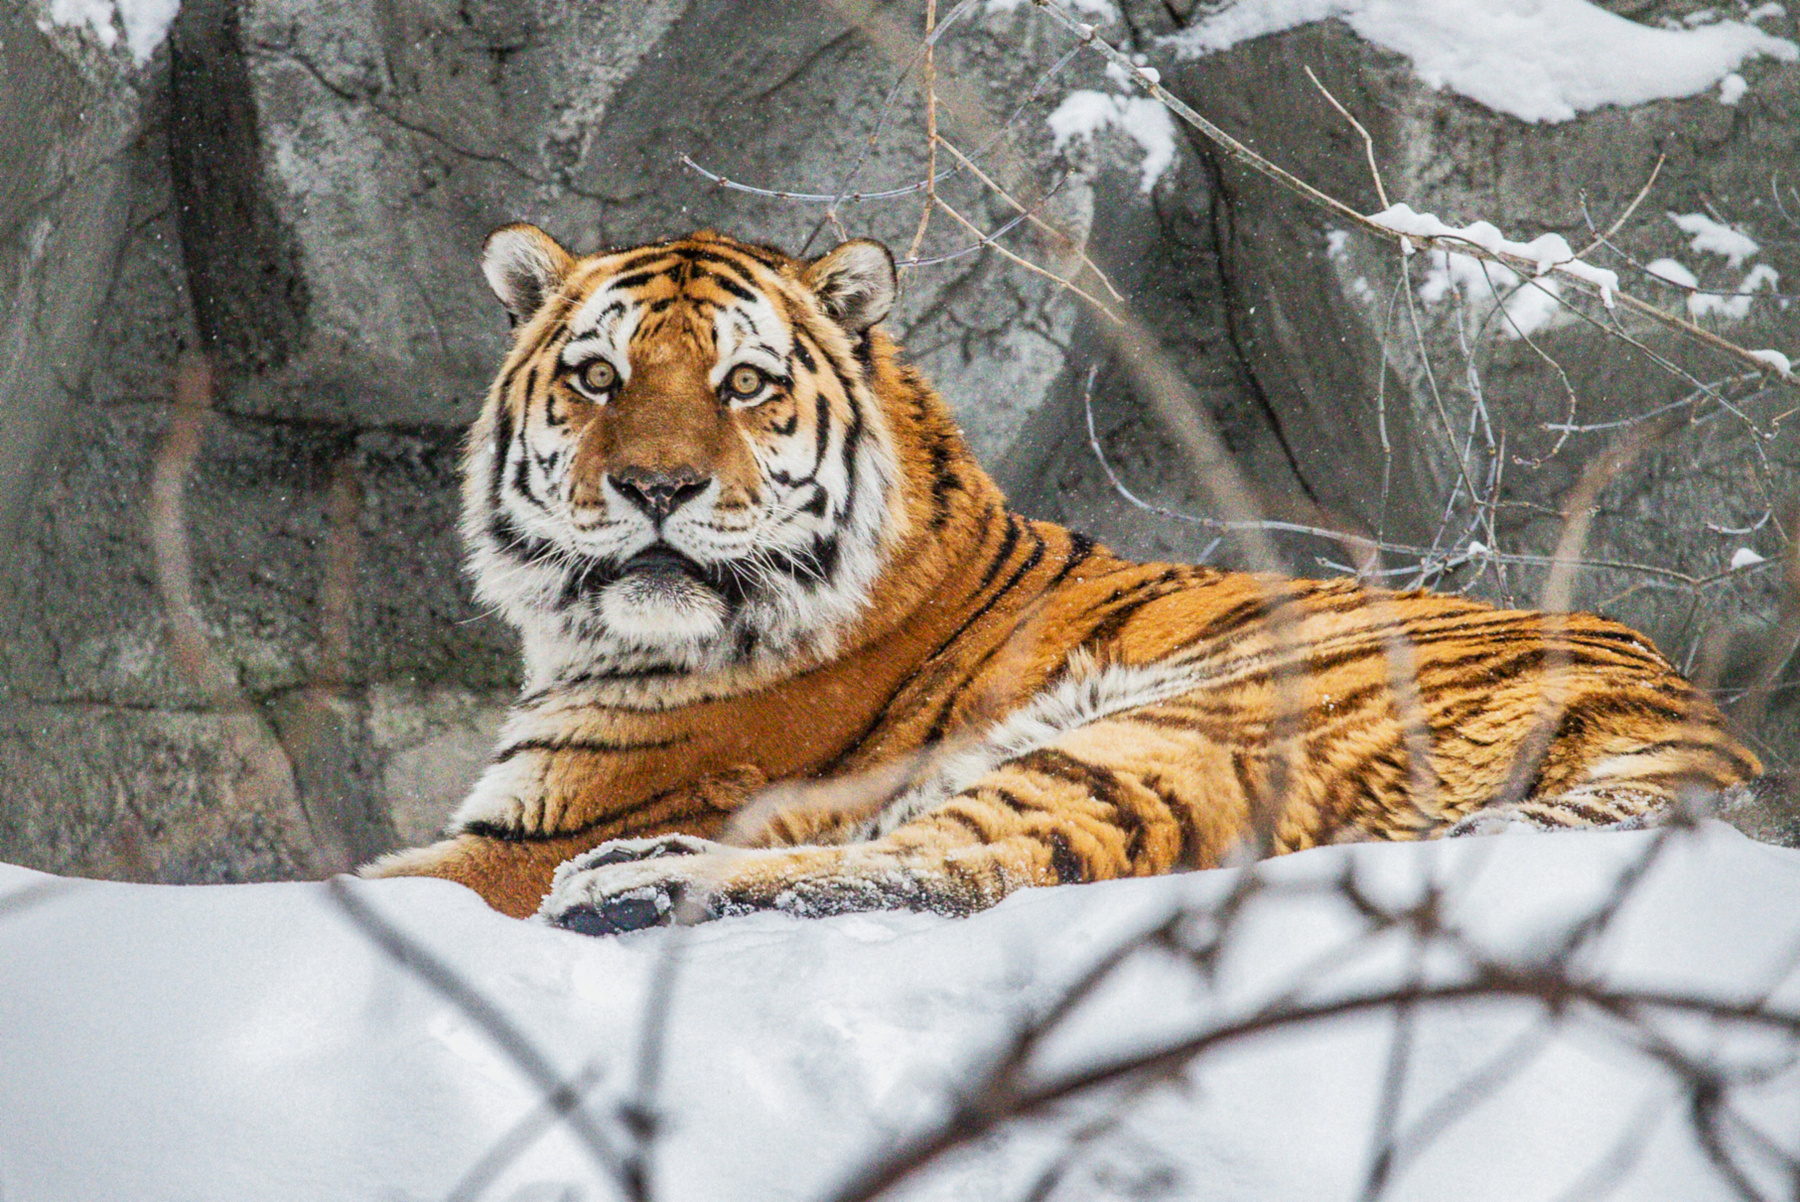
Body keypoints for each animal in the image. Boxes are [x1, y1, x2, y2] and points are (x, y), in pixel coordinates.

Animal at [362, 225, 1763, 934]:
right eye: (598, 378)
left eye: (744, 382)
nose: (658, 487)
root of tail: (1710, 743)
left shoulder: (519, 836)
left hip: (1174, 722)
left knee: (959, 867)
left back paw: (632, 885)